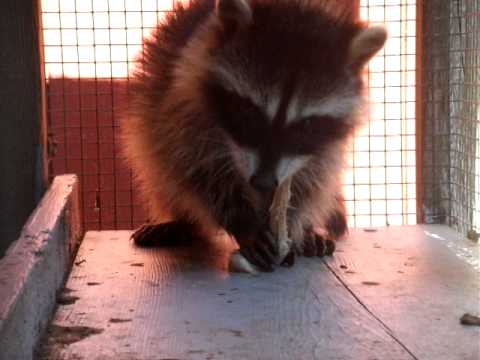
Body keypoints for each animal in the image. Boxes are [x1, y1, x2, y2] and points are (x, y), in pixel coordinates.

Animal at [122, 0, 388, 270]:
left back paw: (307, 231)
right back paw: (182, 220)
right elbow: (197, 170)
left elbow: (313, 180)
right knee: (164, 173)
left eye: (307, 125)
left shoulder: (324, 147)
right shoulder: (181, 106)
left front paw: (293, 224)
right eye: (249, 110)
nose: (263, 182)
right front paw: (243, 221)